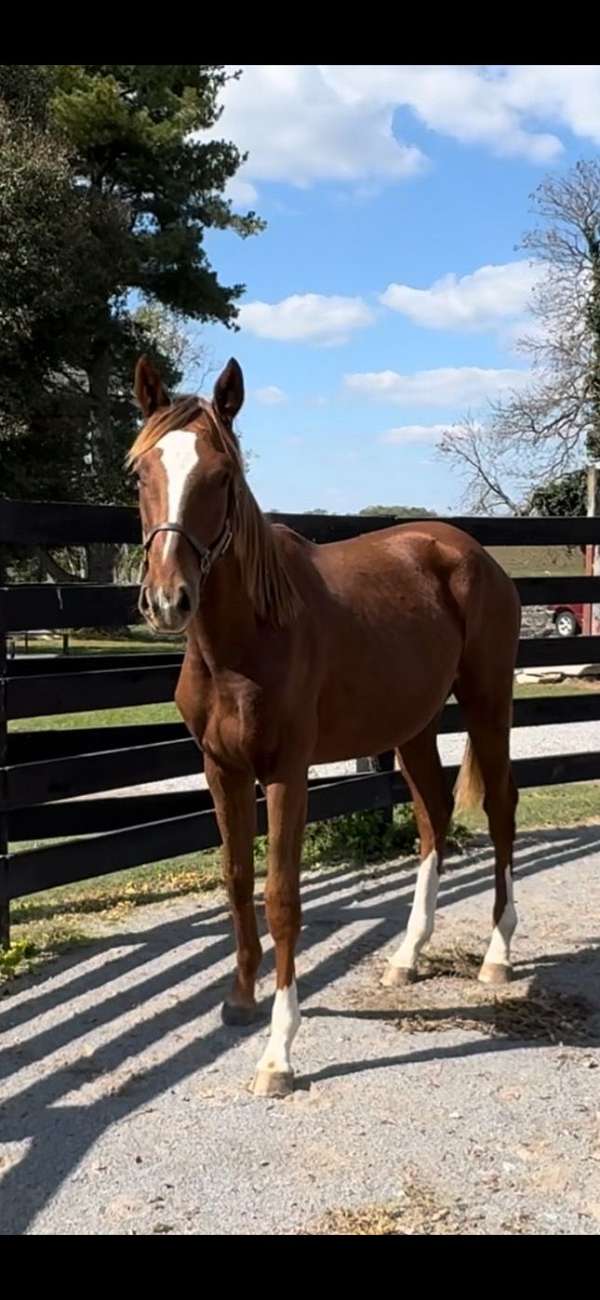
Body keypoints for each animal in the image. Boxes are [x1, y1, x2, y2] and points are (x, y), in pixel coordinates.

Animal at [129, 354, 521, 1098]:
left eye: (222, 477)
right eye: (142, 473)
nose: (168, 600)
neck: (244, 639)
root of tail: (470, 553)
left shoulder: (287, 771)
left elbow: (282, 896)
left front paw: (278, 1053)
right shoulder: (221, 769)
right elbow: (235, 879)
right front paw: (239, 999)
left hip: (489, 704)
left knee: (502, 813)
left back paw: (497, 953)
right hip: (413, 726)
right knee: (432, 820)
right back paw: (406, 956)